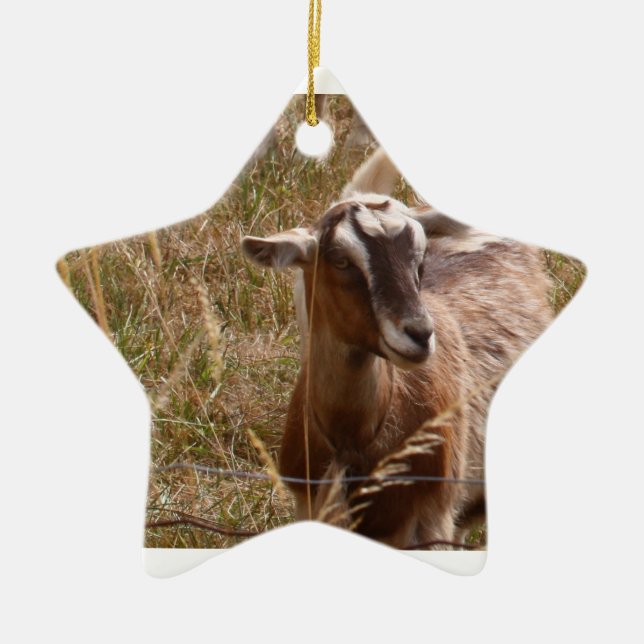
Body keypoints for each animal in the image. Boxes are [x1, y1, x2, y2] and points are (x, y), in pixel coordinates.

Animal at [241, 149, 553, 548]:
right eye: (340, 260)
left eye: (420, 259)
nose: (419, 334)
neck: (353, 440)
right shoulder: (308, 502)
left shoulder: (430, 518)